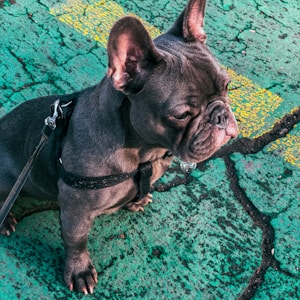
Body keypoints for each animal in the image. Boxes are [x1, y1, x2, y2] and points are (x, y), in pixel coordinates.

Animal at [0, 0, 239, 296]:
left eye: (227, 85)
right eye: (182, 115)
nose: (221, 116)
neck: (144, 151)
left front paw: (137, 200)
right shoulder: (76, 207)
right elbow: (76, 239)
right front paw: (79, 270)